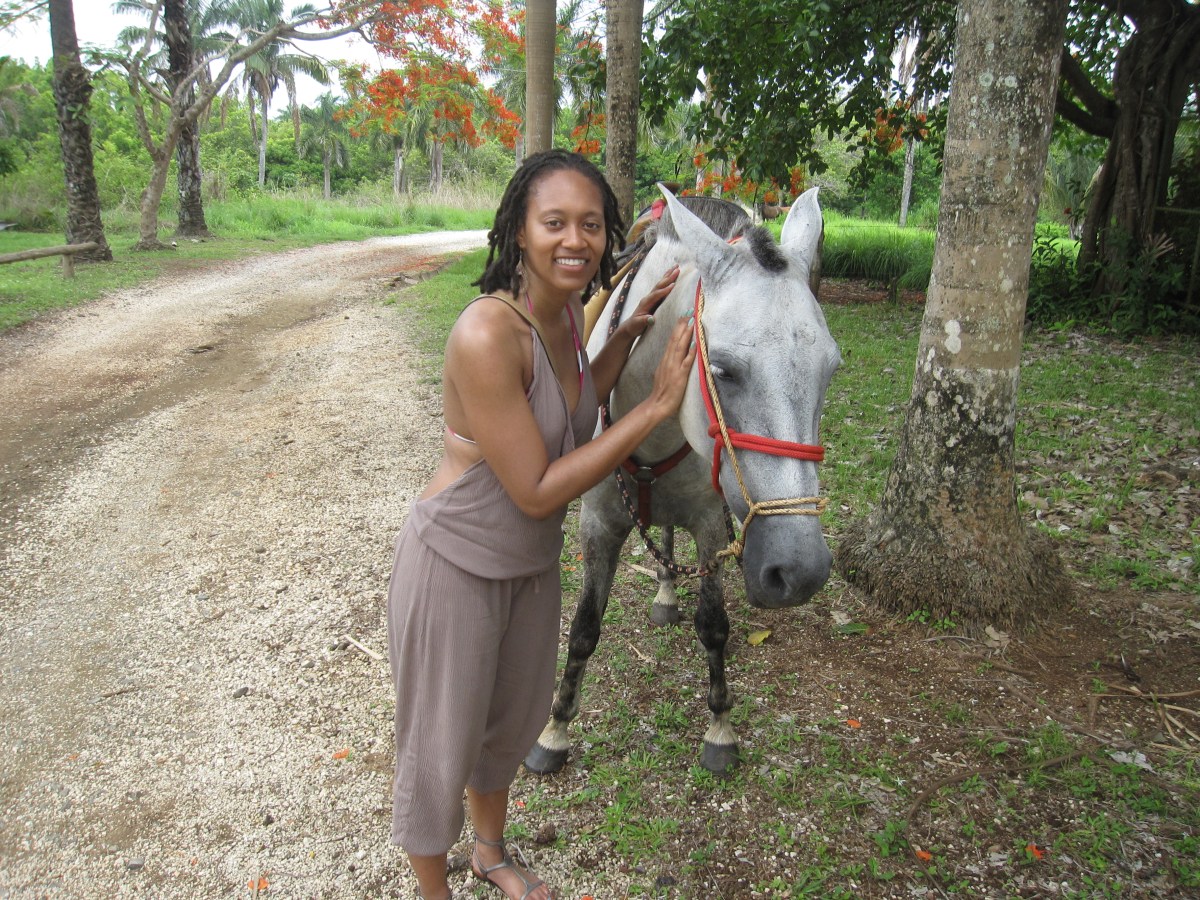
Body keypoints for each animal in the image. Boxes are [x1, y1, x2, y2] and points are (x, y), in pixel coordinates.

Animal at [524, 186, 841, 775]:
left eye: (831, 369)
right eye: (723, 371)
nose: (800, 571)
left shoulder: (711, 525)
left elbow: (713, 625)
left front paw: (720, 729)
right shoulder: (598, 525)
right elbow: (583, 629)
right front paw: (553, 732)